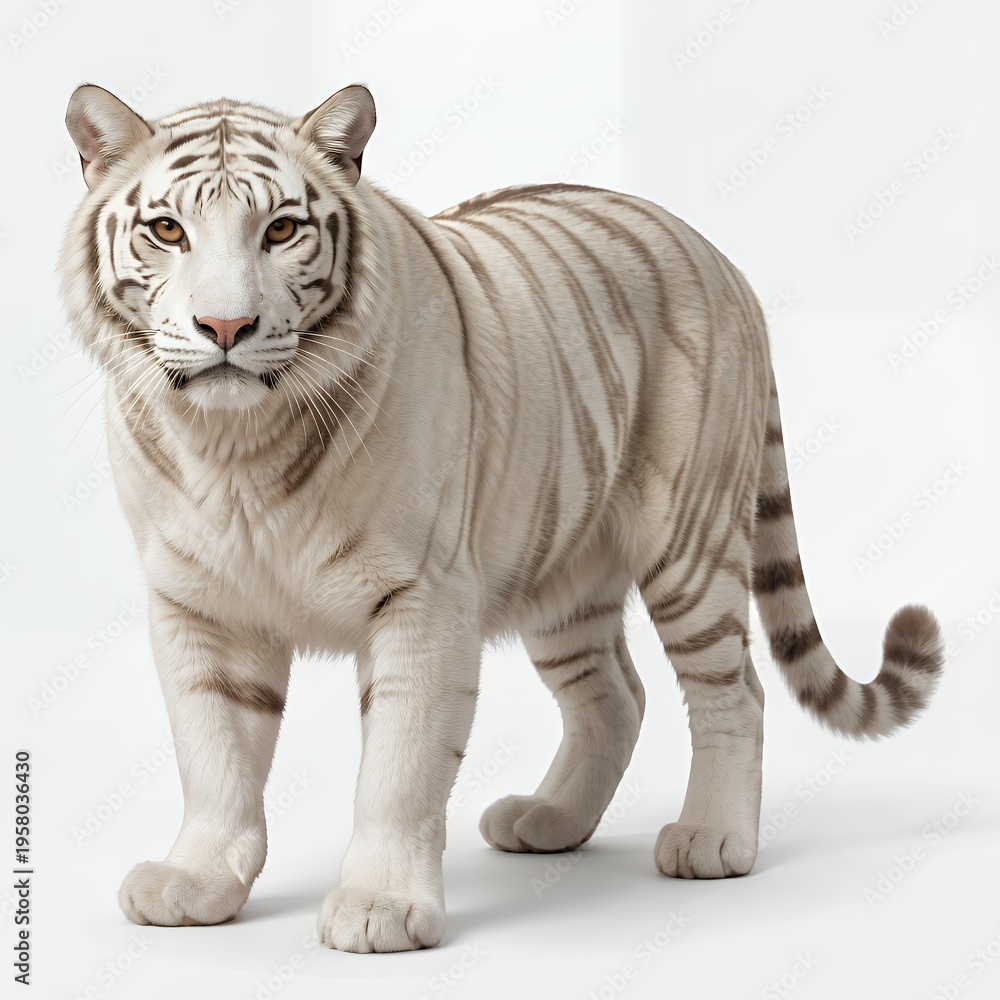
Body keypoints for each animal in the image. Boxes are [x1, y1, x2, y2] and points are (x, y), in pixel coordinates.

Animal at [60, 82, 944, 954]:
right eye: (166, 230)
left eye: (280, 229)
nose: (226, 328)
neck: (236, 446)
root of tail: (722, 259)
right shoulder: (195, 603)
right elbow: (212, 754)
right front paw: (198, 881)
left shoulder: (423, 596)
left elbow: (399, 764)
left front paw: (380, 906)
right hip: (563, 570)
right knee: (615, 696)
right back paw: (550, 820)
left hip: (690, 548)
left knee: (737, 692)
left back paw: (712, 838)